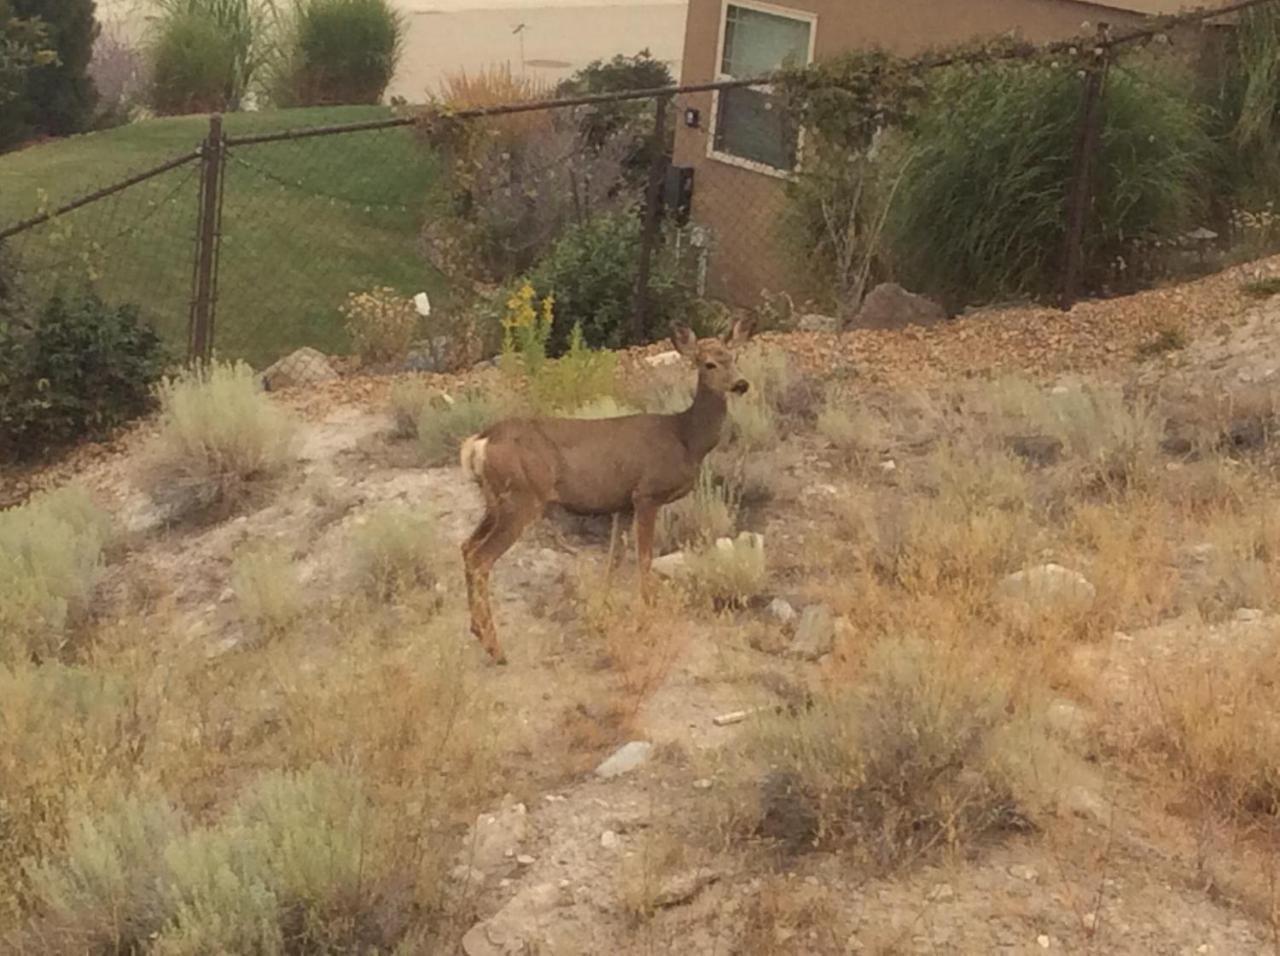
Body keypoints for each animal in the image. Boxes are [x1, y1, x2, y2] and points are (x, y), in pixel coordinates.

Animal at [460, 317, 752, 660]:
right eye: (709, 363)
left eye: (734, 357)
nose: (741, 384)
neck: (685, 439)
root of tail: (480, 441)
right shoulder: (646, 493)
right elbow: (643, 557)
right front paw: (646, 617)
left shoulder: (621, 504)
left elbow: (614, 559)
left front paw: (605, 610)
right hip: (522, 497)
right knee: (481, 559)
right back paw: (495, 648)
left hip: (495, 500)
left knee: (466, 547)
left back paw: (478, 631)